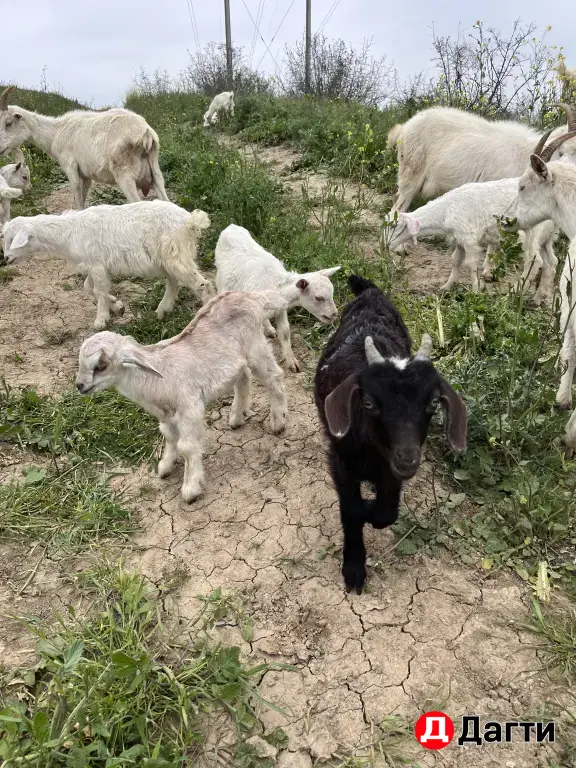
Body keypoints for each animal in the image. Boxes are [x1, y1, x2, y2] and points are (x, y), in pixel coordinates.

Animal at [0, 86, 168, 208]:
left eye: (8, 123)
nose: (0, 148)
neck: (56, 132)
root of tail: (146, 134)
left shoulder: (70, 166)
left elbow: (76, 196)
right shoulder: (86, 174)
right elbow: (83, 197)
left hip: (124, 173)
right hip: (155, 172)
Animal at [2, 200, 214, 329]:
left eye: (13, 239)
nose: (5, 258)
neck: (69, 231)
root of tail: (190, 221)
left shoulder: (96, 264)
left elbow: (98, 291)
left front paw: (101, 319)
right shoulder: (93, 264)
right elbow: (89, 288)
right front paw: (116, 306)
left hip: (175, 253)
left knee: (202, 284)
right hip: (166, 258)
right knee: (173, 282)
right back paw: (162, 311)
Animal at [76, 291, 288, 502]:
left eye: (101, 365)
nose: (80, 386)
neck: (154, 377)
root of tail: (250, 296)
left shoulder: (189, 408)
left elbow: (187, 446)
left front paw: (190, 488)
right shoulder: (166, 415)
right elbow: (169, 437)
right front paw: (165, 466)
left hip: (256, 348)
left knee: (275, 377)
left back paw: (278, 422)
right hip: (237, 361)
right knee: (243, 376)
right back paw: (237, 417)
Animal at [215, 224, 340, 372]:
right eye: (318, 297)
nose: (334, 314)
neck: (277, 286)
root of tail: (230, 226)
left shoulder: (280, 309)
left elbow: (285, 332)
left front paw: (292, 362)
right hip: (221, 279)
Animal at [315, 275, 467, 594]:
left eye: (433, 403)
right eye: (369, 403)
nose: (408, 457)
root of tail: (370, 291)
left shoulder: (391, 469)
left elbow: (385, 514)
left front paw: (373, 511)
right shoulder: (340, 462)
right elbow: (351, 510)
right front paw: (354, 568)